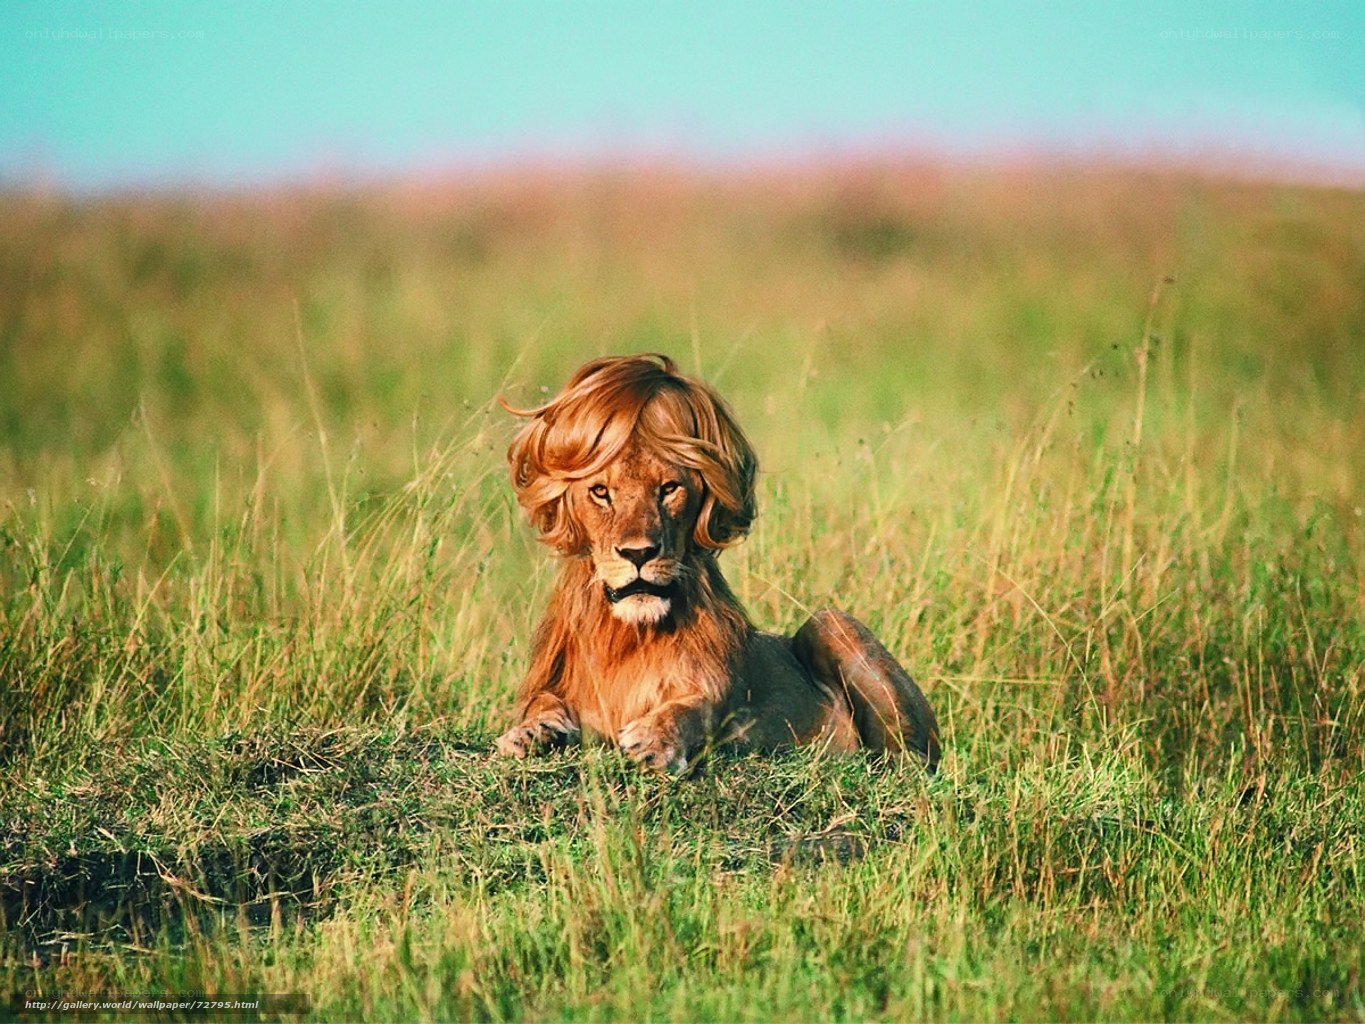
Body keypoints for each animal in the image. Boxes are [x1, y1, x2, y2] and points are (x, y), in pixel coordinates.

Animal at [494, 353, 940, 773]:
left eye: (669, 488)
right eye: (601, 492)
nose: (638, 553)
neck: (628, 636)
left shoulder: (727, 699)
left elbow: (696, 706)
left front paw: (655, 739)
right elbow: (541, 701)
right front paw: (531, 732)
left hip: (831, 622)